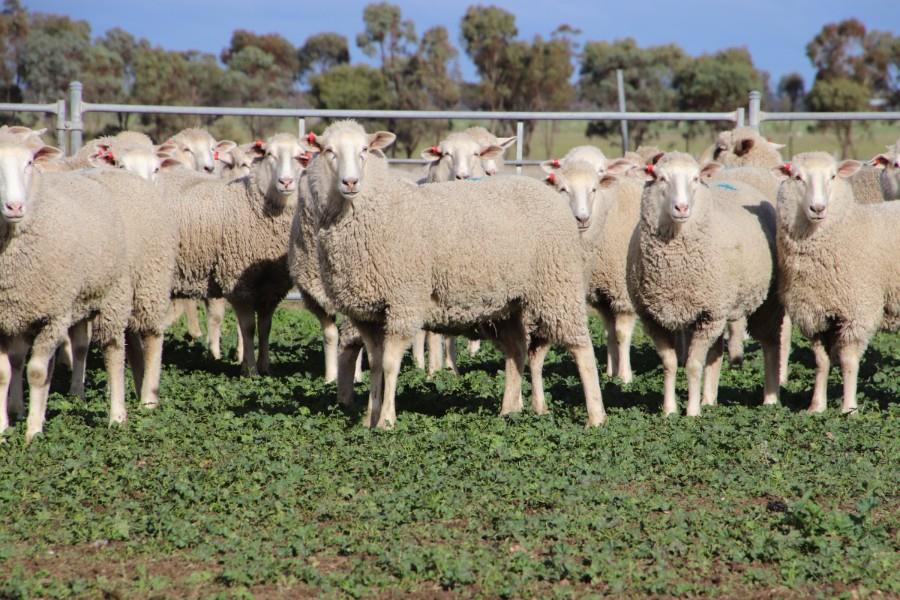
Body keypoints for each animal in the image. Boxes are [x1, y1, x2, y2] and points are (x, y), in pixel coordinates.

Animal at [160, 132, 311, 376]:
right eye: (269, 154)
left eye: (301, 156)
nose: (286, 182)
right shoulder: (238, 281)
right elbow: (248, 328)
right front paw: (249, 370)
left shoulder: (272, 286)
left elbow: (266, 327)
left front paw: (265, 367)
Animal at [307, 120, 605, 429]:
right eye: (328, 151)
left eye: (365, 150)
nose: (350, 182)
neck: (374, 209)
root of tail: (551, 196)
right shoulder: (367, 314)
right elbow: (376, 364)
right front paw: (369, 419)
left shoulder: (403, 302)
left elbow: (390, 364)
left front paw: (386, 422)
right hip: (506, 306)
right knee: (517, 351)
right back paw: (508, 411)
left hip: (557, 287)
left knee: (582, 348)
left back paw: (596, 418)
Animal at [626, 152, 786, 416]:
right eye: (660, 178)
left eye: (696, 178)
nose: (682, 208)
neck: (674, 268)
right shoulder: (654, 318)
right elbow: (670, 363)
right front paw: (669, 410)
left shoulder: (708, 314)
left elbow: (692, 365)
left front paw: (691, 413)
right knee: (717, 353)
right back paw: (709, 400)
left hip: (764, 302)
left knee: (771, 344)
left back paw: (771, 399)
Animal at [772, 152, 900, 413]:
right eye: (797, 177)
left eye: (832, 176)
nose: (817, 208)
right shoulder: (815, 317)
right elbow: (821, 362)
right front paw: (816, 406)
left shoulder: (857, 312)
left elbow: (848, 361)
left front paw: (849, 409)